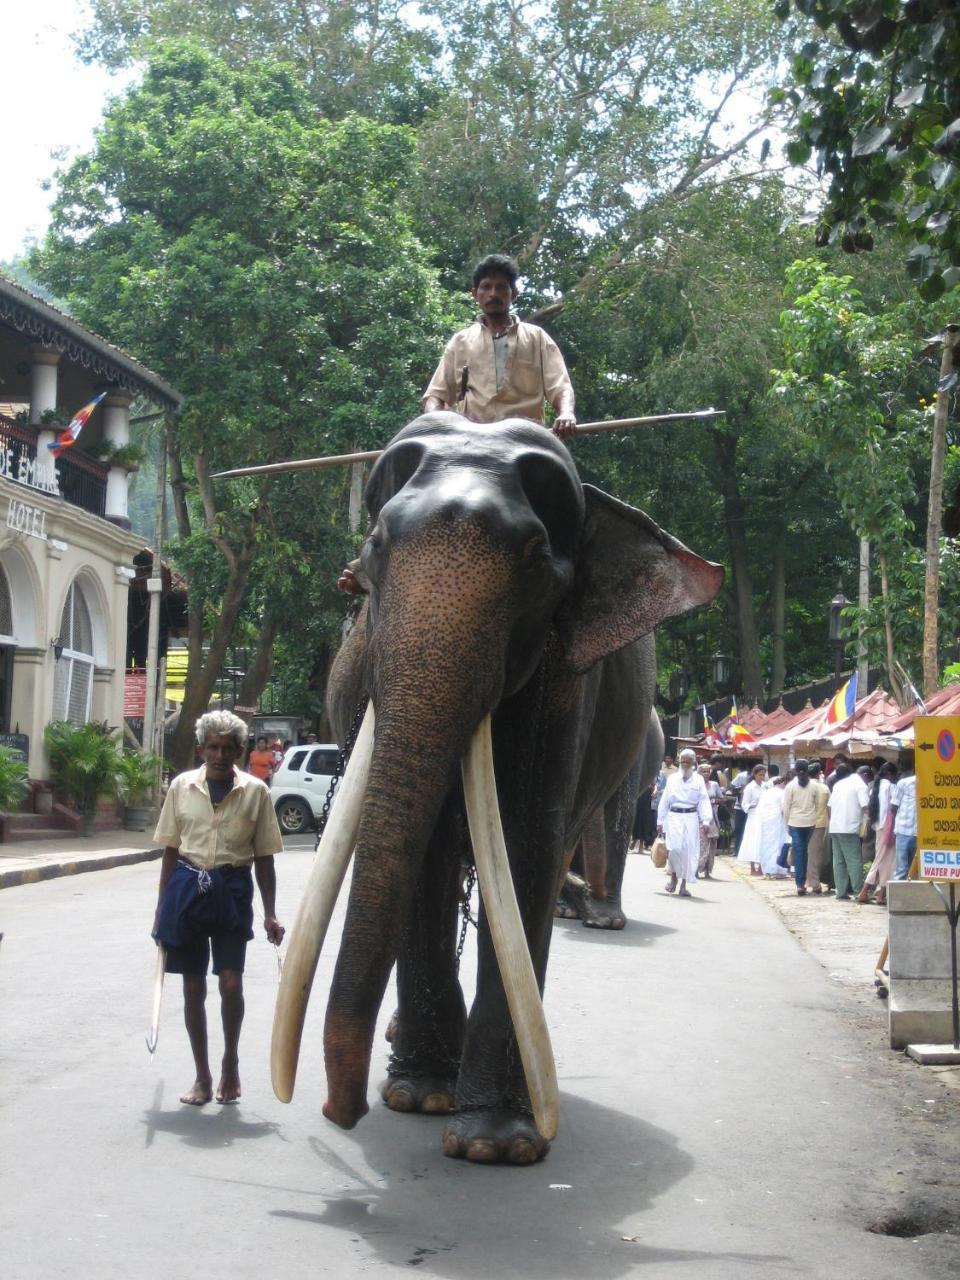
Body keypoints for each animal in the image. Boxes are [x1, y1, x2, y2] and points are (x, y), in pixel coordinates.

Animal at [271, 414, 721, 1167]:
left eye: (538, 559)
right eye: (374, 546)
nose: (342, 1113)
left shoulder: (564, 681)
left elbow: (524, 839)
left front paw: (495, 1145)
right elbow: (425, 855)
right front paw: (420, 1098)